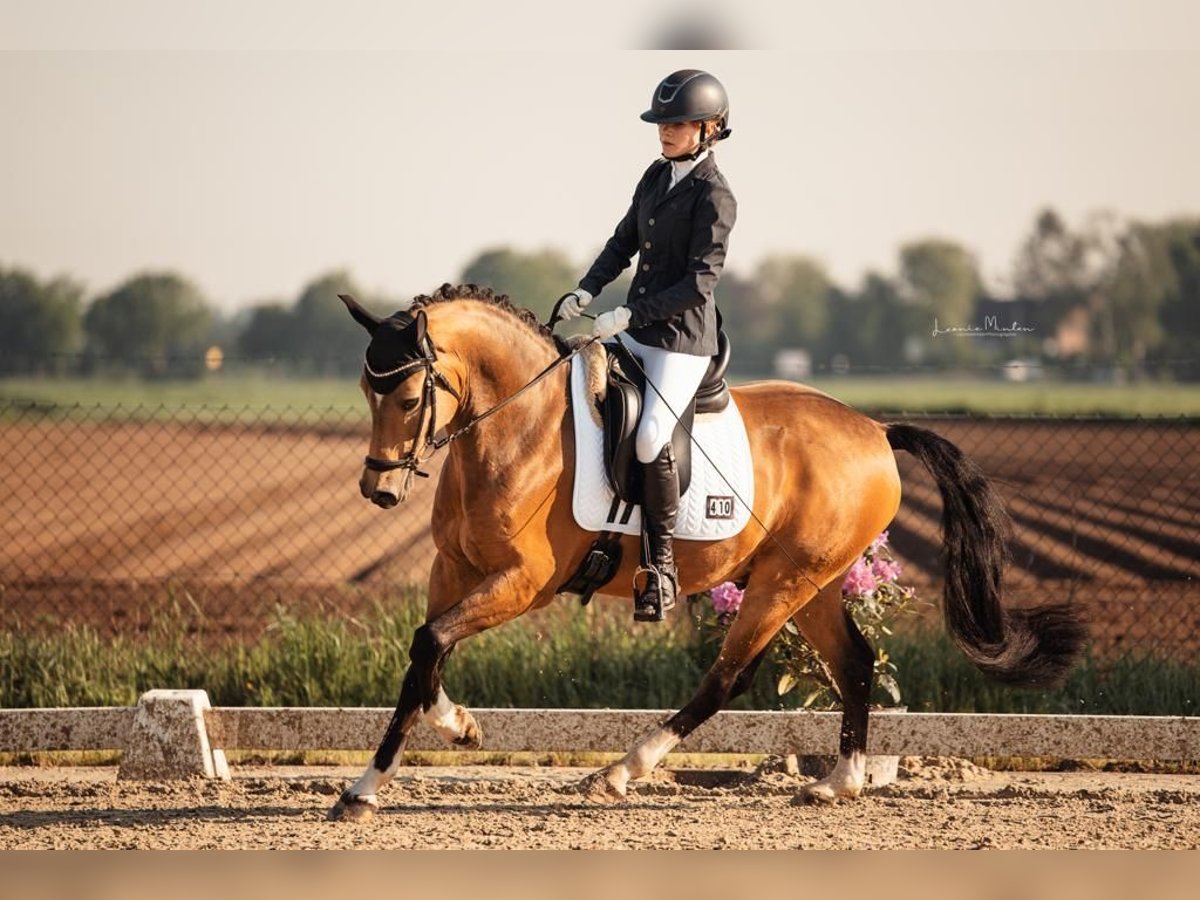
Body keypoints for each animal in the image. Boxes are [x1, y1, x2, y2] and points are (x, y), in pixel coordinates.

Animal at [326, 283, 1089, 825]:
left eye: (407, 395)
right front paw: (390, 770)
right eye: (366, 389)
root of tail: (874, 429)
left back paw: (623, 770)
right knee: (854, 662)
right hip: (814, 582)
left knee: (729, 676)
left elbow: (429, 643)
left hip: (782, 582)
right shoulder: (452, 570)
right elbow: (424, 657)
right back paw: (836, 784)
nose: (378, 490)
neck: (520, 425)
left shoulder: (524, 581)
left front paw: (436, 742)